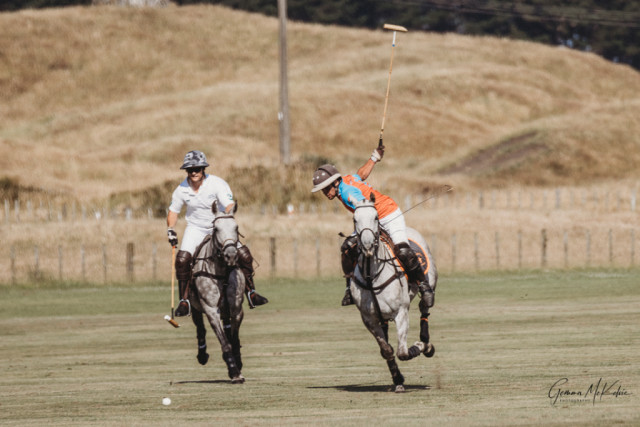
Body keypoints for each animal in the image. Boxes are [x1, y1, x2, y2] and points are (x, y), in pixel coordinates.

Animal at [189, 202, 246, 384]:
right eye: (216, 228)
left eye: (236, 227)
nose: (231, 256)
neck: (221, 271)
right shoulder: (211, 309)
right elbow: (225, 342)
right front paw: (235, 372)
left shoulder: (236, 308)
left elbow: (233, 338)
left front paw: (237, 364)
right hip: (195, 306)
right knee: (200, 328)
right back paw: (202, 355)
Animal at [349, 195, 437, 392]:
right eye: (355, 219)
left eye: (375, 217)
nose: (367, 245)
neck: (371, 276)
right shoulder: (369, 318)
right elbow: (387, 350)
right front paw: (397, 379)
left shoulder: (401, 312)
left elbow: (402, 352)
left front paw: (420, 345)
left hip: (430, 282)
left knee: (424, 308)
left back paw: (426, 343)